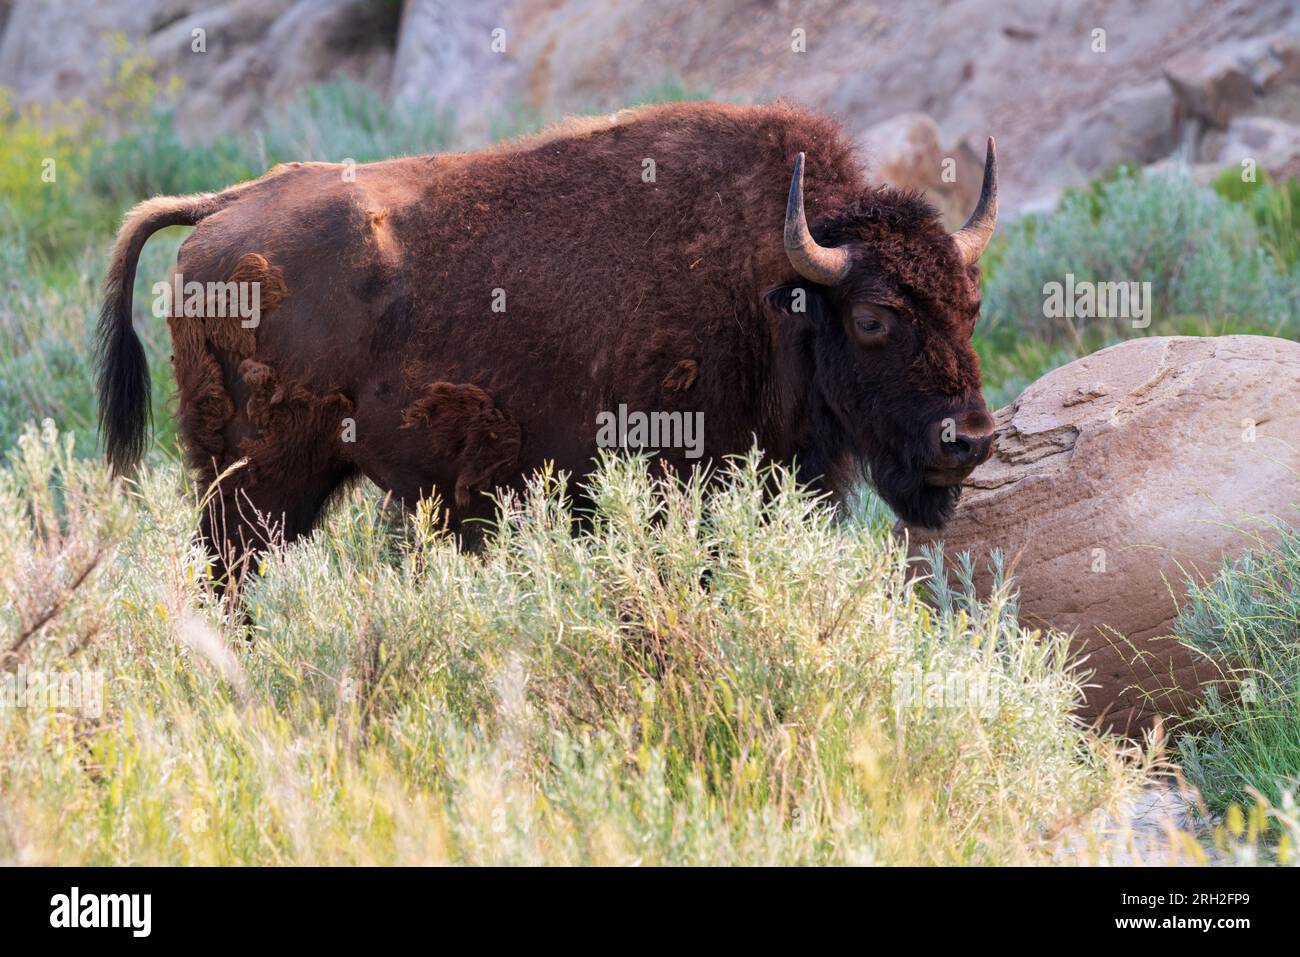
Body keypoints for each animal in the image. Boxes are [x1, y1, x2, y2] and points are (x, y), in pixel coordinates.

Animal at [96, 101, 997, 579]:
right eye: (873, 318)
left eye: (972, 304)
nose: (971, 439)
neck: (773, 286)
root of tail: (220, 210)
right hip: (254, 485)